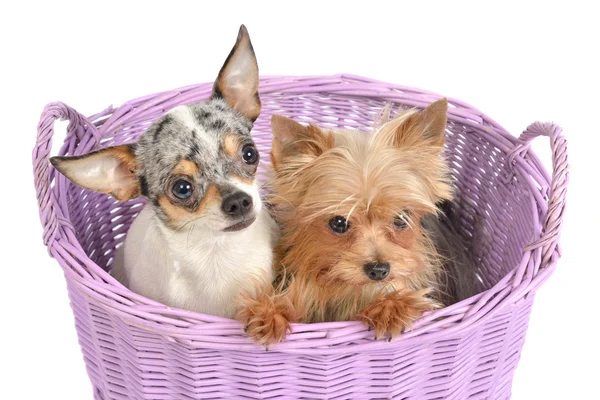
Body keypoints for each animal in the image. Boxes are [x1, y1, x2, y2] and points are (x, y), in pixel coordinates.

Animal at [239, 98, 464, 346]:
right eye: (339, 223)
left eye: (401, 219)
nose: (379, 270)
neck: (346, 287)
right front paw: (271, 313)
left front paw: (391, 306)